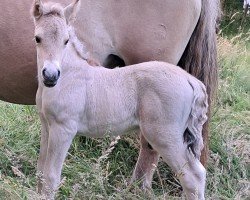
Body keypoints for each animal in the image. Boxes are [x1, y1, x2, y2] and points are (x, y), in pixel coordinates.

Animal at [32, 0, 208, 199]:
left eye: (66, 40)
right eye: (38, 38)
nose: (51, 76)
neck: (69, 75)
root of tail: (190, 80)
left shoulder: (64, 129)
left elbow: (51, 176)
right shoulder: (47, 126)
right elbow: (40, 169)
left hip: (166, 136)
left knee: (192, 176)